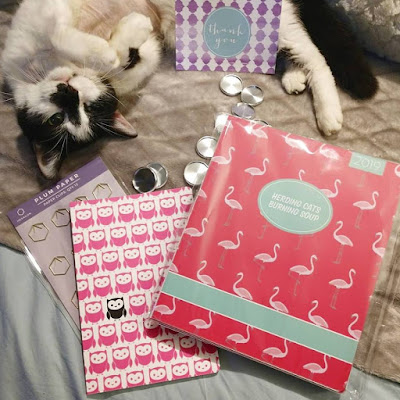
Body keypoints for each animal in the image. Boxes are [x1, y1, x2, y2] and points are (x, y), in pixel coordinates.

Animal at [1, 0, 377, 179]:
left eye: (86, 110)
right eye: (59, 121)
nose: (70, 95)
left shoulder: (45, 19)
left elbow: (63, 35)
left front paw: (114, 41)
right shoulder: (147, 53)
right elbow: (124, 59)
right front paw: (125, 38)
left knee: (317, 55)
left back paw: (329, 112)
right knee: (301, 49)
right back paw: (297, 80)